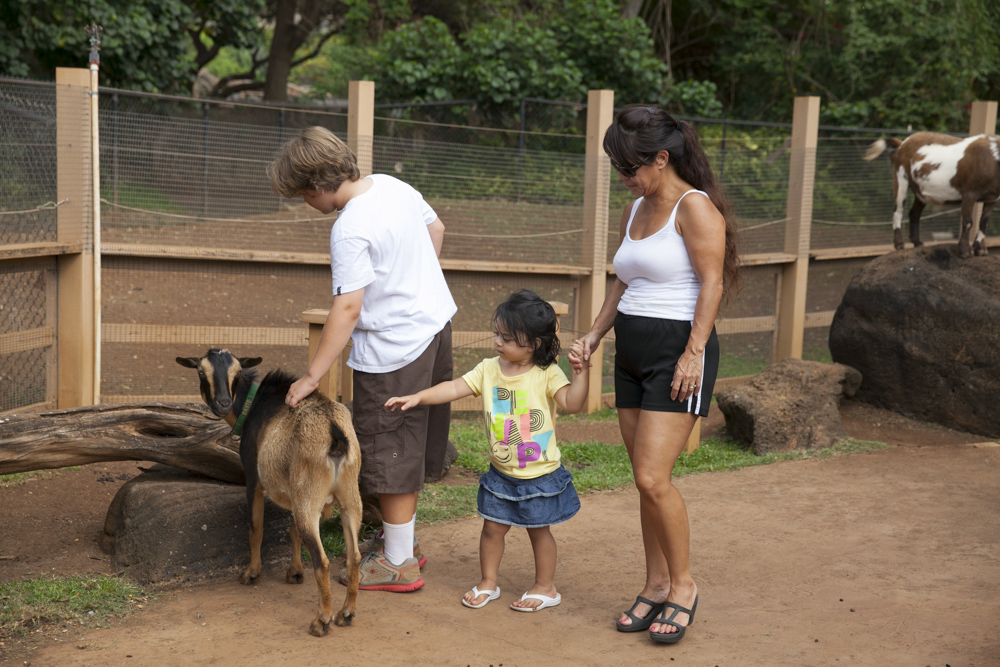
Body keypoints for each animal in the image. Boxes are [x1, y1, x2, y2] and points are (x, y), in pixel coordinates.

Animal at [177, 350, 364, 636]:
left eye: (237, 372)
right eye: (201, 371)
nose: (223, 403)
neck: (254, 405)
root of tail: (334, 432)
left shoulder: (254, 479)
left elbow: (256, 529)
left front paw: (251, 573)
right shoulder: (294, 491)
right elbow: (292, 531)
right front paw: (295, 573)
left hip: (311, 497)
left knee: (321, 560)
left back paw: (321, 620)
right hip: (347, 497)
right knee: (354, 555)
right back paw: (346, 613)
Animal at [864, 131, 996, 258]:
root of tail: (901, 144)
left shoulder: (992, 198)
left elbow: (984, 222)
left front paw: (981, 250)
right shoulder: (970, 192)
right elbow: (968, 222)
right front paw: (965, 252)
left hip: (920, 191)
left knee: (914, 212)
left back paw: (917, 242)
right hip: (900, 177)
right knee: (898, 210)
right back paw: (899, 244)